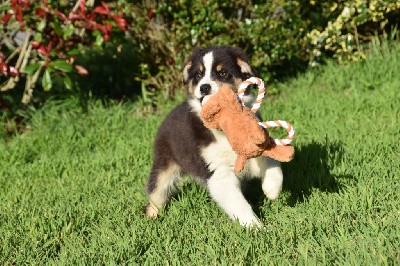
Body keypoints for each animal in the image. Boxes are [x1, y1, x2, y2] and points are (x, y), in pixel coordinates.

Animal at [145, 45, 282, 227]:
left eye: (222, 72)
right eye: (198, 75)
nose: (204, 87)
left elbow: (273, 162)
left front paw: (272, 190)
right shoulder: (218, 172)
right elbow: (239, 205)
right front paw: (256, 227)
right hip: (164, 164)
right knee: (156, 193)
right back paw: (151, 219)